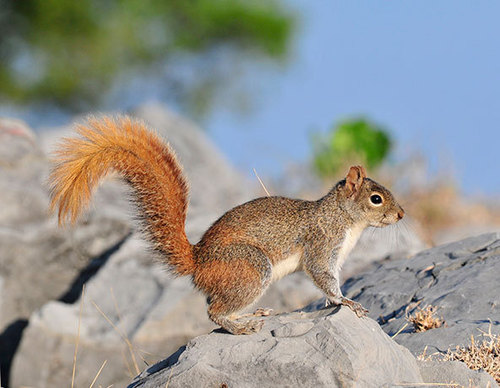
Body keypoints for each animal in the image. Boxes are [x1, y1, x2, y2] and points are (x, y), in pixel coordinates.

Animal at [48, 114, 404, 334]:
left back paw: (250, 315)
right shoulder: (321, 245)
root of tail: (198, 261)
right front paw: (348, 302)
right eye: (376, 199)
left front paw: (338, 301)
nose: (401, 215)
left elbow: (329, 284)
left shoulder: (335, 256)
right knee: (214, 312)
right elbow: (323, 278)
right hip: (250, 267)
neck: (344, 219)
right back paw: (242, 327)